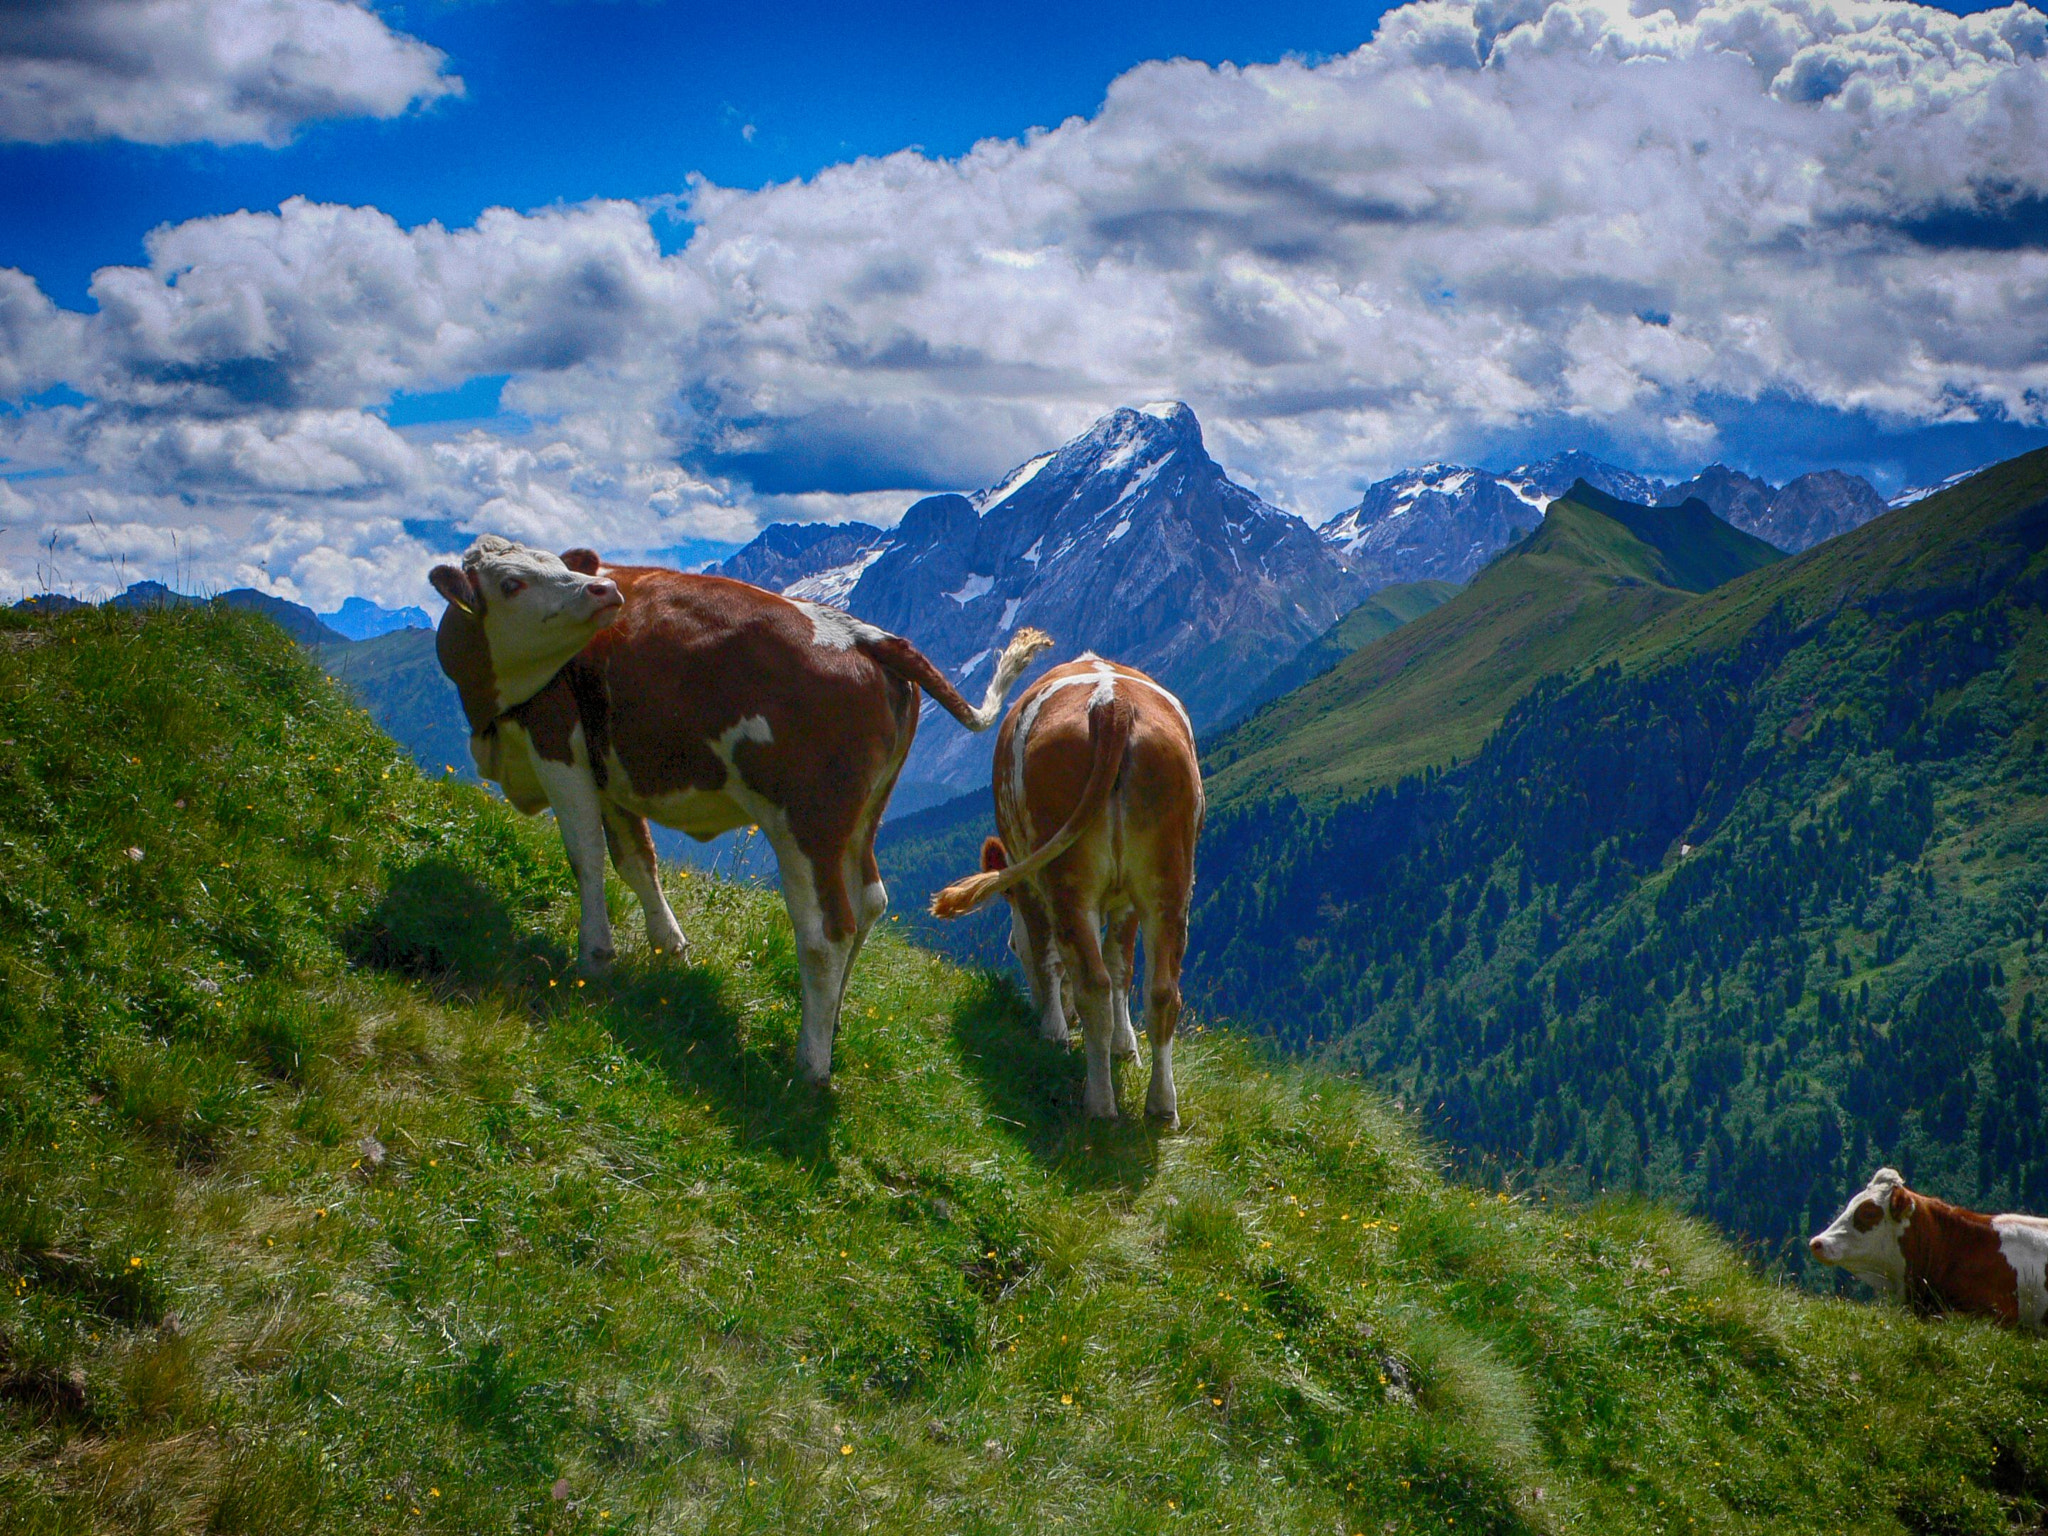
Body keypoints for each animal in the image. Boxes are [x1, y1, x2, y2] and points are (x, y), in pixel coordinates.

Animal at [423, 536, 1048, 1089]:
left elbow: (587, 856)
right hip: (863, 814)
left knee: (827, 932)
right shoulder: (609, 774)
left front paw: (594, 957)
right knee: (870, 901)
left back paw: (810, 1066)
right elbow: (637, 861)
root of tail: (865, 634)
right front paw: (669, 948)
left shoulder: (558, 741)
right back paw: (831, 1026)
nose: (603, 590)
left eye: (542, 572)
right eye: (513, 581)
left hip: (806, 820)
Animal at [929, 655, 1196, 1122]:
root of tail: (1112, 705)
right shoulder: (1127, 902)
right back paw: (1162, 1107)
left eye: (1011, 948)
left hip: (1065, 875)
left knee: (1092, 983)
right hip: (1169, 879)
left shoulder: (1029, 886)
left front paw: (1052, 1032)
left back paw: (1100, 1103)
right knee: (1162, 991)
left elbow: (1047, 953)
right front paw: (1125, 1048)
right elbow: (1122, 966)